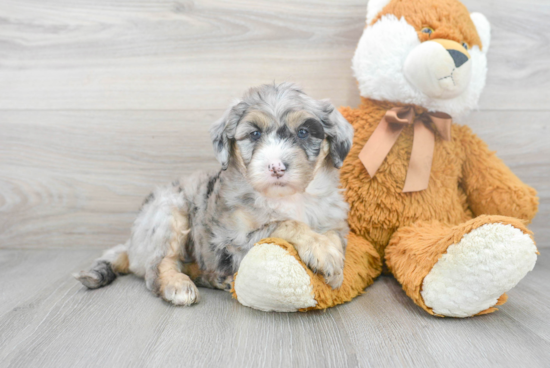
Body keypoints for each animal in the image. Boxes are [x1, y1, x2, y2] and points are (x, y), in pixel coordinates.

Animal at [75, 82, 356, 304]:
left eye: (303, 132)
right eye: (254, 134)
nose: (276, 166)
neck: (287, 197)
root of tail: (132, 245)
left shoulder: (334, 221)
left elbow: (332, 236)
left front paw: (333, 262)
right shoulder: (234, 241)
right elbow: (284, 223)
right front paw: (322, 252)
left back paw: (215, 279)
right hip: (169, 212)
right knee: (158, 267)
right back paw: (178, 285)